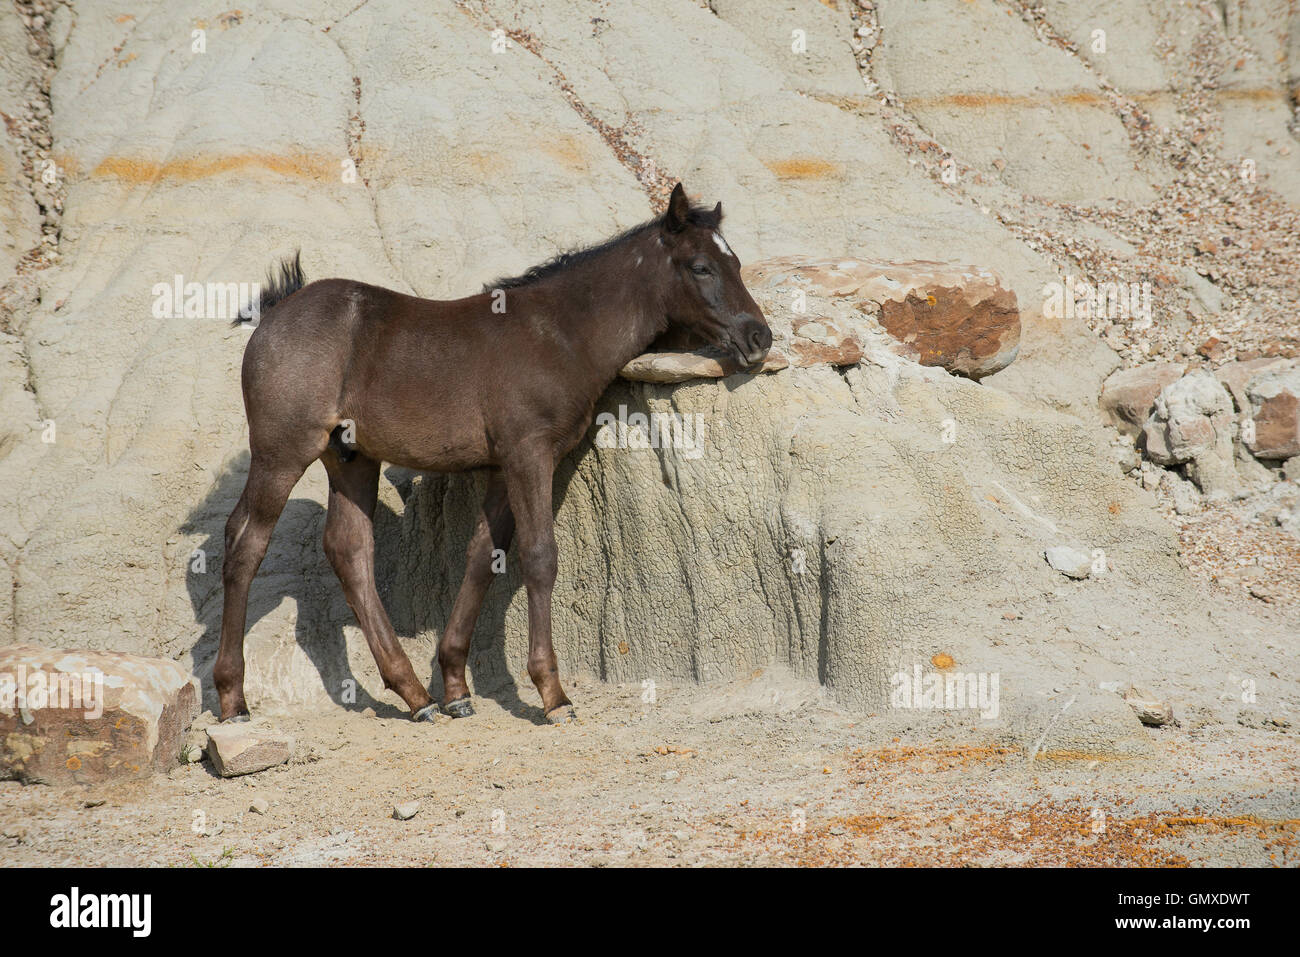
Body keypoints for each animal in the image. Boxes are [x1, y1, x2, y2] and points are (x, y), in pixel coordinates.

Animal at [215, 183, 769, 722]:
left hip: (352, 458)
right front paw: (552, 693)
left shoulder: (504, 467)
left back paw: (415, 694)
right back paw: (232, 698)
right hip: (282, 452)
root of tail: (275, 312)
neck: (561, 334)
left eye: (737, 263)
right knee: (245, 542)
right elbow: (539, 556)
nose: (759, 336)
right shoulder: (529, 454)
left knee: (348, 549)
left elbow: (484, 556)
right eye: (700, 266)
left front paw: (456, 686)